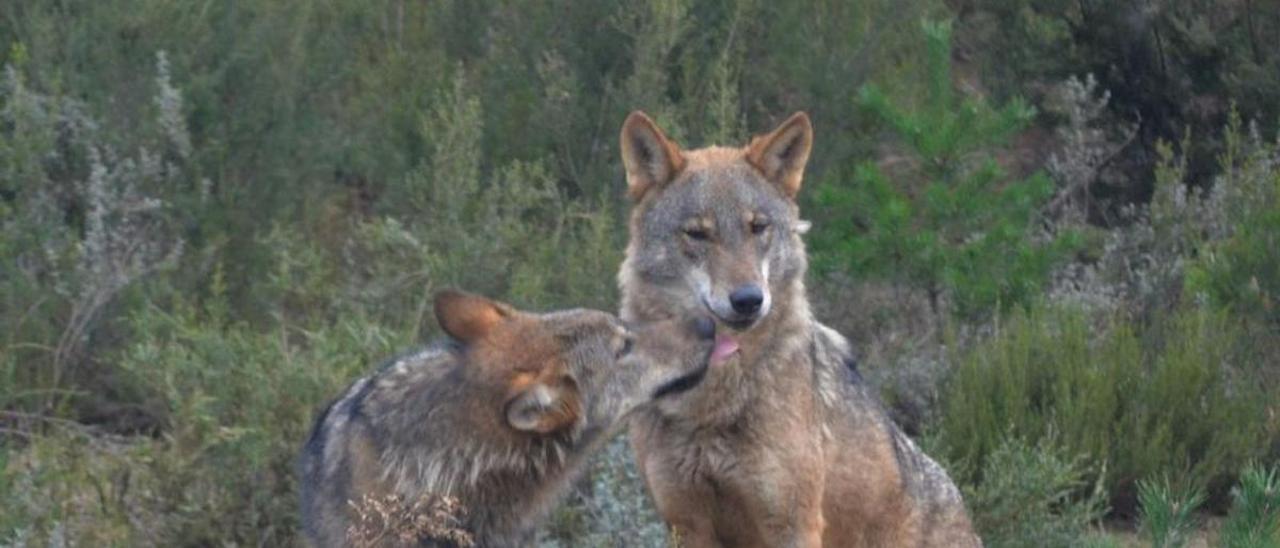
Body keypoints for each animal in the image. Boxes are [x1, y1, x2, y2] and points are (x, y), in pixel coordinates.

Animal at [619, 111, 977, 548]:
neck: (712, 403)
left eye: (758, 227)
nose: (748, 299)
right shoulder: (685, 526)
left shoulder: (793, 523)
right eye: (697, 233)